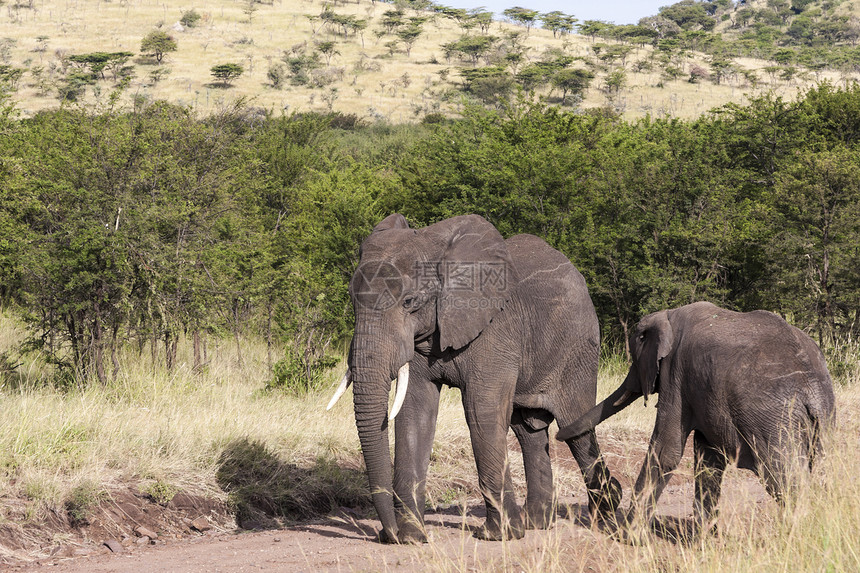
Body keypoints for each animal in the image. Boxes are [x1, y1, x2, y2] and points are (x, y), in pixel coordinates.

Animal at [328, 213, 620, 540]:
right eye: (352, 299)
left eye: (409, 302)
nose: (386, 533)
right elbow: (414, 413)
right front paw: (413, 537)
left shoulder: (494, 330)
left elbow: (482, 411)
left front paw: (497, 536)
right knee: (528, 432)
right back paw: (535, 523)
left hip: (577, 350)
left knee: (576, 427)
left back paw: (606, 516)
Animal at [556, 302, 832, 536]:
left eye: (635, 362)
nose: (556, 433)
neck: (667, 315)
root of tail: (812, 389)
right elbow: (707, 458)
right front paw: (704, 539)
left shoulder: (675, 373)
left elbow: (666, 450)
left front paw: (625, 536)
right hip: (821, 421)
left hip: (774, 419)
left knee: (784, 476)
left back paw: (795, 537)